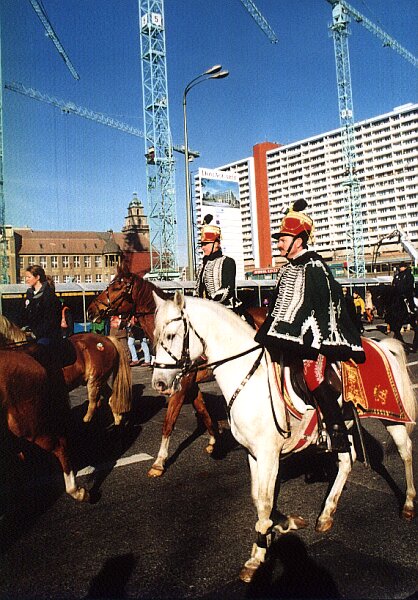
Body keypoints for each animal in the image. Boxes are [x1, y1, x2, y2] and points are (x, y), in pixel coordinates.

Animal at [0, 318, 131, 426]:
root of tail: (106, 339)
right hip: (100, 380)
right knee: (110, 398)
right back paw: (118, 420)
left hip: (95, 381)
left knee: (93, 404)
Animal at [87, 264, 268, 476]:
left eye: (117, 287)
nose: (90, 310)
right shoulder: (191, 385)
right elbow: (204, 412)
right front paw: (214, 441)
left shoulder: (179, 387)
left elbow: (169, 422)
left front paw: (159, 461)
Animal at [150, 292, 414, 584]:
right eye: (154, 335)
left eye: (171, 335)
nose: (159, 383)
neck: (249, 377)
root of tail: (383, 345)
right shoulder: (253, 454)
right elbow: (258, 498)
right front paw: (279, 529)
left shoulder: (269, 454)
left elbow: (265, 503)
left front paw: (258, 555)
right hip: (343, 425)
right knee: (348, 460)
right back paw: (326, 514)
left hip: (392, 417)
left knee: (405, 451)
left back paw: (408, 503)